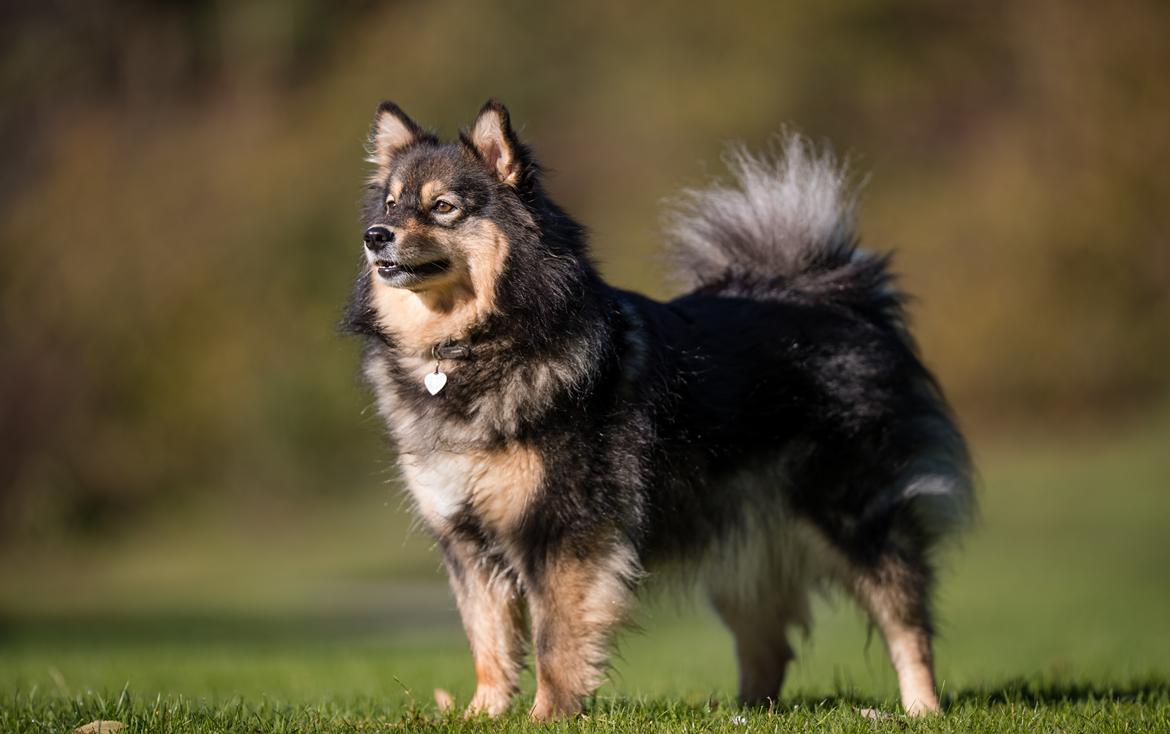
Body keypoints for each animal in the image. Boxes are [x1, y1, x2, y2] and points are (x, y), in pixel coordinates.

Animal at [341, 100, 973, 721]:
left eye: (443, 207)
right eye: (392, 204)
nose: (375, 235)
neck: (470, 344)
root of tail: (835, 296)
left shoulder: (565, 531)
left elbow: (553, 639)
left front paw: (547, 716)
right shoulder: (466, 542)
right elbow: (488, 641)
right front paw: (481, 715)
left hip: (852, 516)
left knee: (905, 621)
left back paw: (922, 710)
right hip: (741, 546)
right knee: (767, 645)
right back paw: (743, 713)